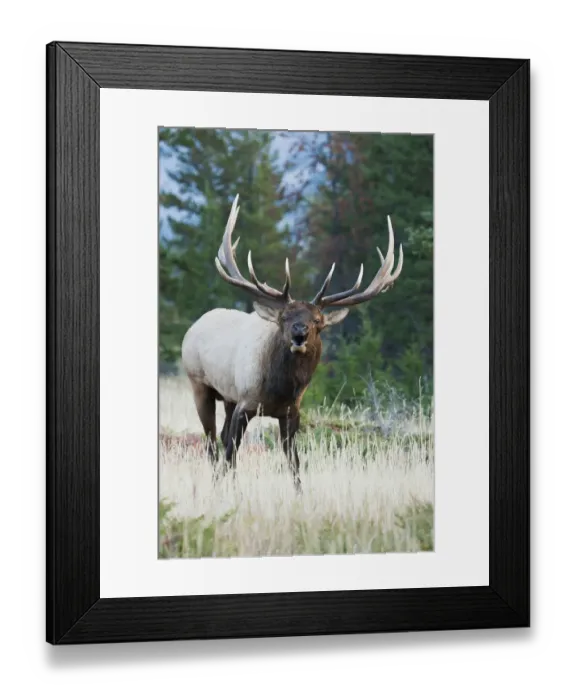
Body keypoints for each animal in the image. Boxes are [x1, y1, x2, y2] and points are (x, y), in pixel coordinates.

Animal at [181, 194, 404, 493]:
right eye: (284, 317)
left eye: (318, 320)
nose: (300, 331)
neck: (280, 390)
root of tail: (195, 325)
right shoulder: (245, 403)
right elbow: (230, 453)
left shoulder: (291, 413)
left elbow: (294, 463)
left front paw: (299, 494)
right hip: (200, 385)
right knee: (212, 442)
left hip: (227, 397)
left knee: (222, 439)